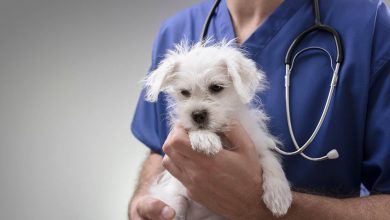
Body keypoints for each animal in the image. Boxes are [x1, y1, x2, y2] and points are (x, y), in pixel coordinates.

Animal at [145, 40, 290, 218]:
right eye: (184, 92)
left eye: (216, 87)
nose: (197, 114)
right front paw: (204, 138)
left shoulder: (256, 143)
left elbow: (270, 160)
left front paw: (279, 194)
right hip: (175, 202)